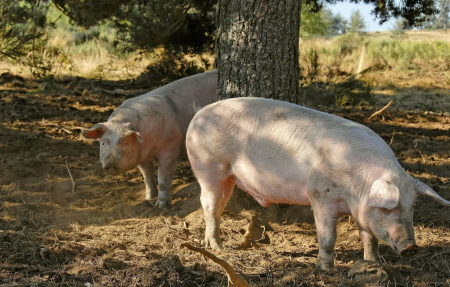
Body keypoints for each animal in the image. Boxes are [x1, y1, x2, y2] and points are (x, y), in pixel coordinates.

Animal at [85, 71, 220, 208]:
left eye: (125, 142)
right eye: (103, 143)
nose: (110, 164)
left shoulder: (170, 150)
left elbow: (163, 179)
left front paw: (160, 206)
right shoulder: (141, 157)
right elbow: (147, 176)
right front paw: (148, 198)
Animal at [184, 98, 450, 272]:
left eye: (411, 207)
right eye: (388, 207)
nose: (411, 247)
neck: (357, 187)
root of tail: (199, 112)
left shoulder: (360, 210)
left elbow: (369, 237)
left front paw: (373, 263)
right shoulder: (320, 197)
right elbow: (328, 236)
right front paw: (325, 269)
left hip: (226, 176)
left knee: (218, 206)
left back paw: (209, 244)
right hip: (209, 167)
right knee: (209, 205)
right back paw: (218, 248)